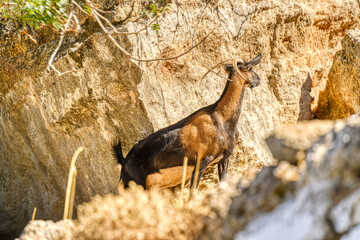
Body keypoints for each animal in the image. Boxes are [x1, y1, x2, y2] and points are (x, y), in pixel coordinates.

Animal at [114, 54, 262, 189]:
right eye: (250, 69)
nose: (259, 80)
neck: (222, 118)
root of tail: (125, 162)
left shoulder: (223, 160)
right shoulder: (202, 161)